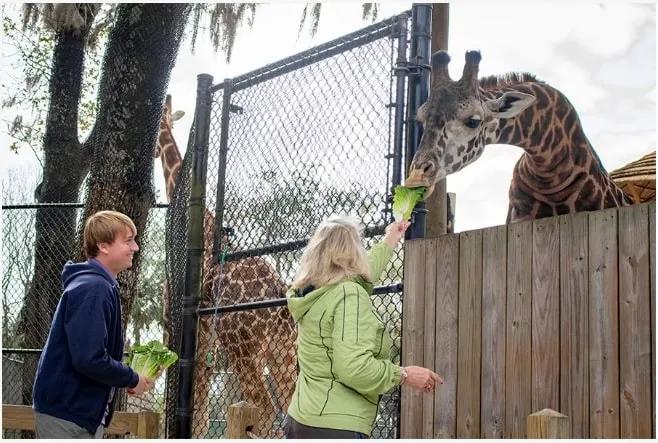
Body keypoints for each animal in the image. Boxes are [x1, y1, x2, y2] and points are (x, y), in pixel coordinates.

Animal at [155, 95, 297, 438]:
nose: (153, 149)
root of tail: (278, 290)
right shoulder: (205, 341)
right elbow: (201, 411)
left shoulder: (171, 325)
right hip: (283, 348)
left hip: (243, 347)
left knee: (265, 408)